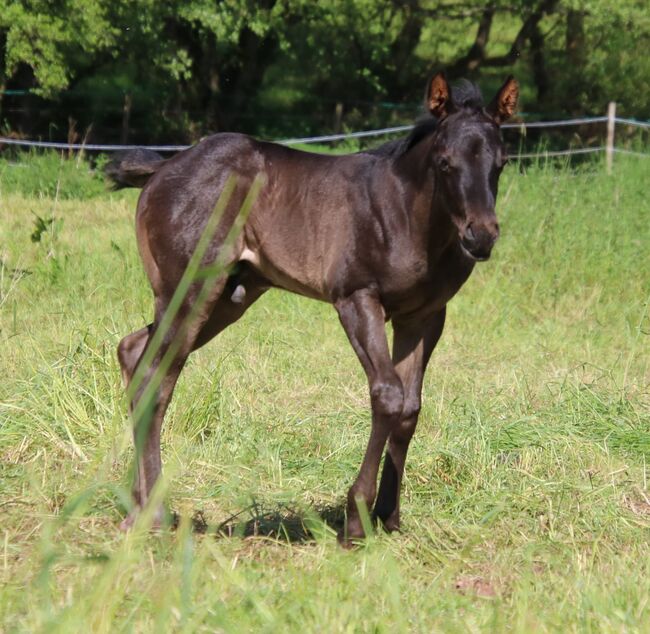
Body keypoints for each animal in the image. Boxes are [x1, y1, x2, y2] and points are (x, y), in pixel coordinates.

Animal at [111, 71, 516, 540]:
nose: (481, 236)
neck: (407, 216)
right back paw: (154, 513)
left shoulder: (425, 316)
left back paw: (136, 506)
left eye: (501, 162)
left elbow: (410, 408)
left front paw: (388, 515)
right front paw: (357, 517)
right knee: (156, 375)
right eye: (445, 162)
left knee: (134, 351)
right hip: (191, 288)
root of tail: (163, 168)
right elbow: (387, 395)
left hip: (230, 297)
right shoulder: (357, 298)